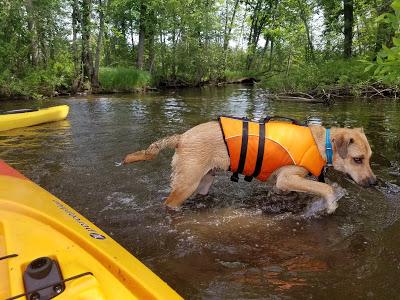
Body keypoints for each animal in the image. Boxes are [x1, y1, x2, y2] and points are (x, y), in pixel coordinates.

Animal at [123, 118, 376, 214]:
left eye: (370, 157)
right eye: (358, 159)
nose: (374, 182)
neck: (322, 143)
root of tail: (181, 137)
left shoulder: (282, 185)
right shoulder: (287, 178)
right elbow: (324, 187)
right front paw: (331, 203)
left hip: (204, 181)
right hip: (187, 182)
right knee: (169, 203)